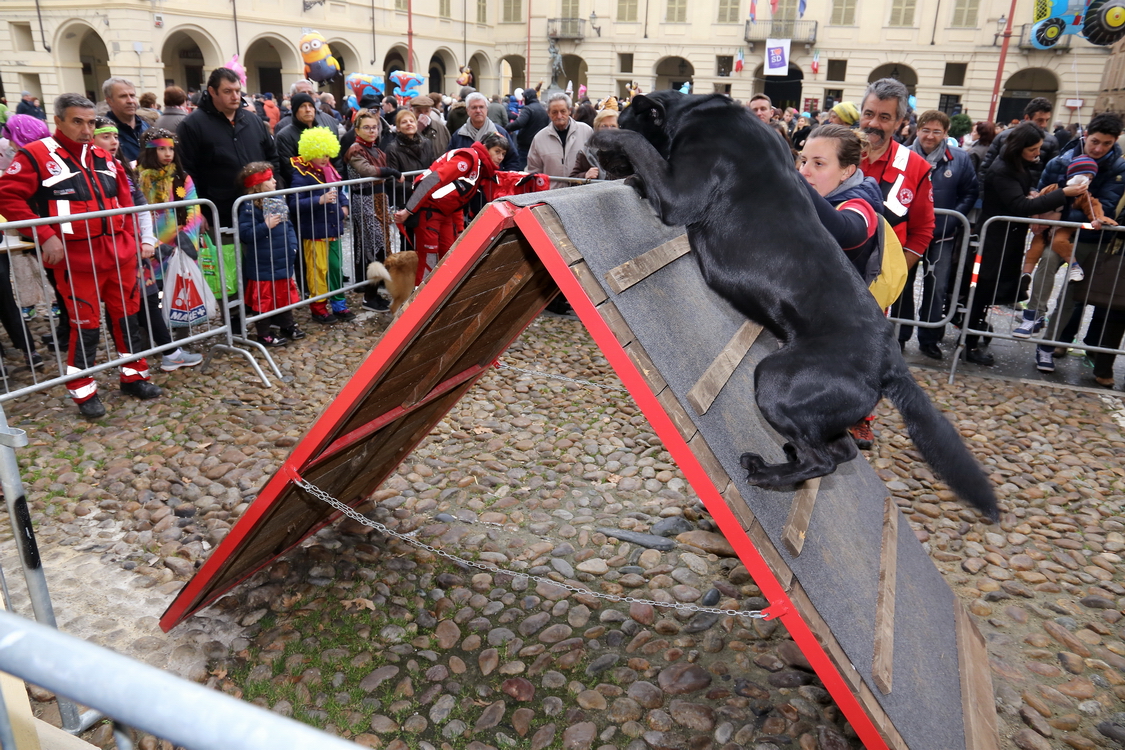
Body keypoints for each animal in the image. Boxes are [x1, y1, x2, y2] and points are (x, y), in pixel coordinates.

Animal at [594, 89, 999, 521]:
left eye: (620, 118)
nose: (596, 160)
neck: (693, 113)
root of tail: (891, 362)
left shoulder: (679, 194)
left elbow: (638, 146)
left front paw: (609, 141)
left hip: (776, 379)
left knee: (823, 459)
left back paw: (765, 473)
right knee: (842, 449)